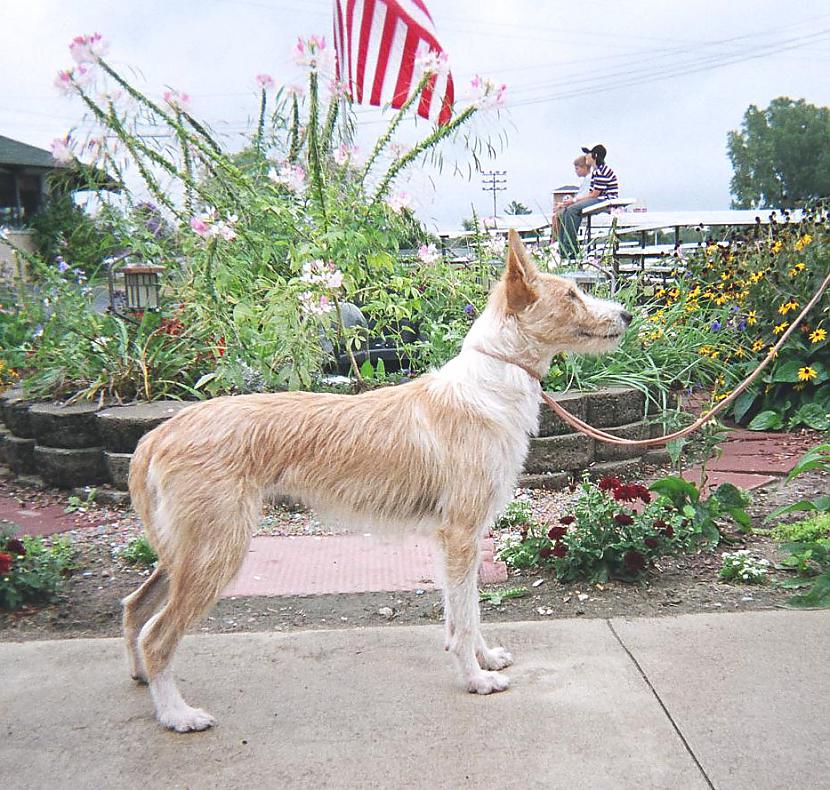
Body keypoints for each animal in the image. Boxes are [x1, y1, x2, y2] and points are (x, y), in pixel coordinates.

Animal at [123, 227, 632, 732]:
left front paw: (483, 658)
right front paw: (476, 679)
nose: (627, 313)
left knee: (135, 608)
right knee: (157, 635)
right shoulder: (462, 533)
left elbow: (464, 611)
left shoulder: (455, 540)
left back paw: (143, 678)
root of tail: (156, 435)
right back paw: (176, 713)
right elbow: (466, 617)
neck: (491, 381)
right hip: (216, 550)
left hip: (185, 551)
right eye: (571, 294)